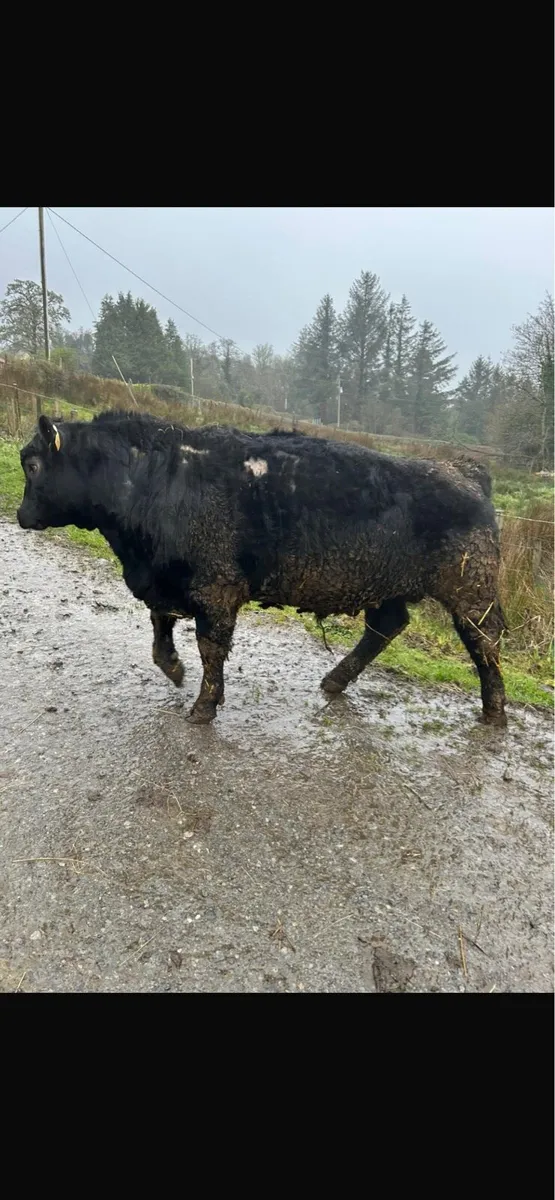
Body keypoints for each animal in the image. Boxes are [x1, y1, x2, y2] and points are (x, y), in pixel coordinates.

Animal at [17, 410, 508, 727]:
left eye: (34, 464)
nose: (20, 516)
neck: (158, 478)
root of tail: (464, 470)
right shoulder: (165, 579)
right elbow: (160, 628)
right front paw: (173, 668)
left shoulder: (215, 588)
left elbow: (211, 647)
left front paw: (204, 706)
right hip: (387, 586)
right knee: (386, 627)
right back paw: (334, 681)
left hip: (471, 591)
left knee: (484, 641)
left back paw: (495, 711)